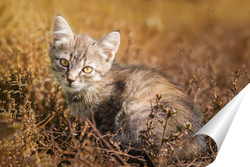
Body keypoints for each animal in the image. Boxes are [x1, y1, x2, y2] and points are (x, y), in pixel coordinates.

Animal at [49, 15, 206, 160]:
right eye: (64, 62)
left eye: (87, 69)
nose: (70, 79)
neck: (91, 87)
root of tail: (195, 144)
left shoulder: (111, 110)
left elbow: (104, 132)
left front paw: (95, 145)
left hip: (135, 113)